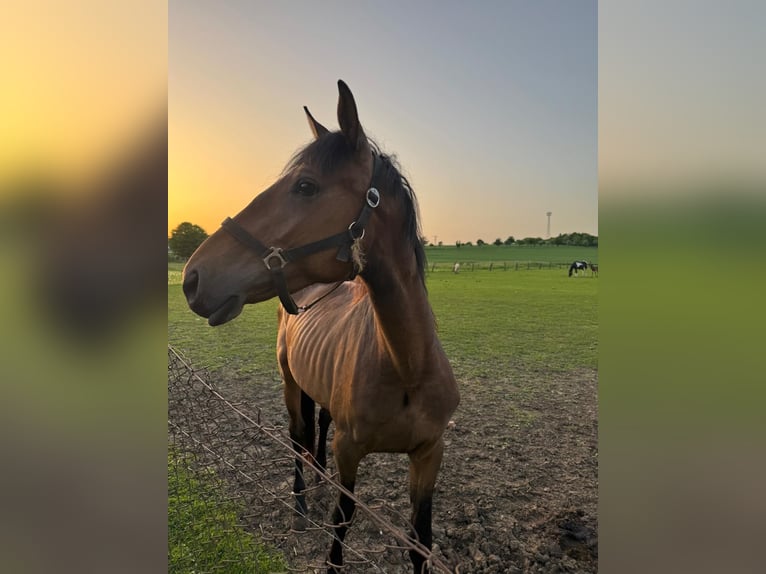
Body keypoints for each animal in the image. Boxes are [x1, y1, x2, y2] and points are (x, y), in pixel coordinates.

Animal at [182, 80, 460, 574]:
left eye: (306, 186)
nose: (193, 277)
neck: (407, 365)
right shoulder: (349, 451)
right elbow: (341, 520)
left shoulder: (430, 453)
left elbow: (419, 541)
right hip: (290, 382)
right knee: (298, 438)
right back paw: (299, 505)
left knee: (317, 431)